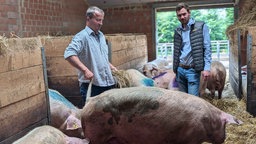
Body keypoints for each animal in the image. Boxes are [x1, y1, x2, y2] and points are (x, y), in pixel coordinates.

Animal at [80, 86, 242, 144]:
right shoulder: (191, 138)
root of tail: (89, 101)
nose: (224, 138)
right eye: (225, 124)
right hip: (96, 136)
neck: (209, 119)